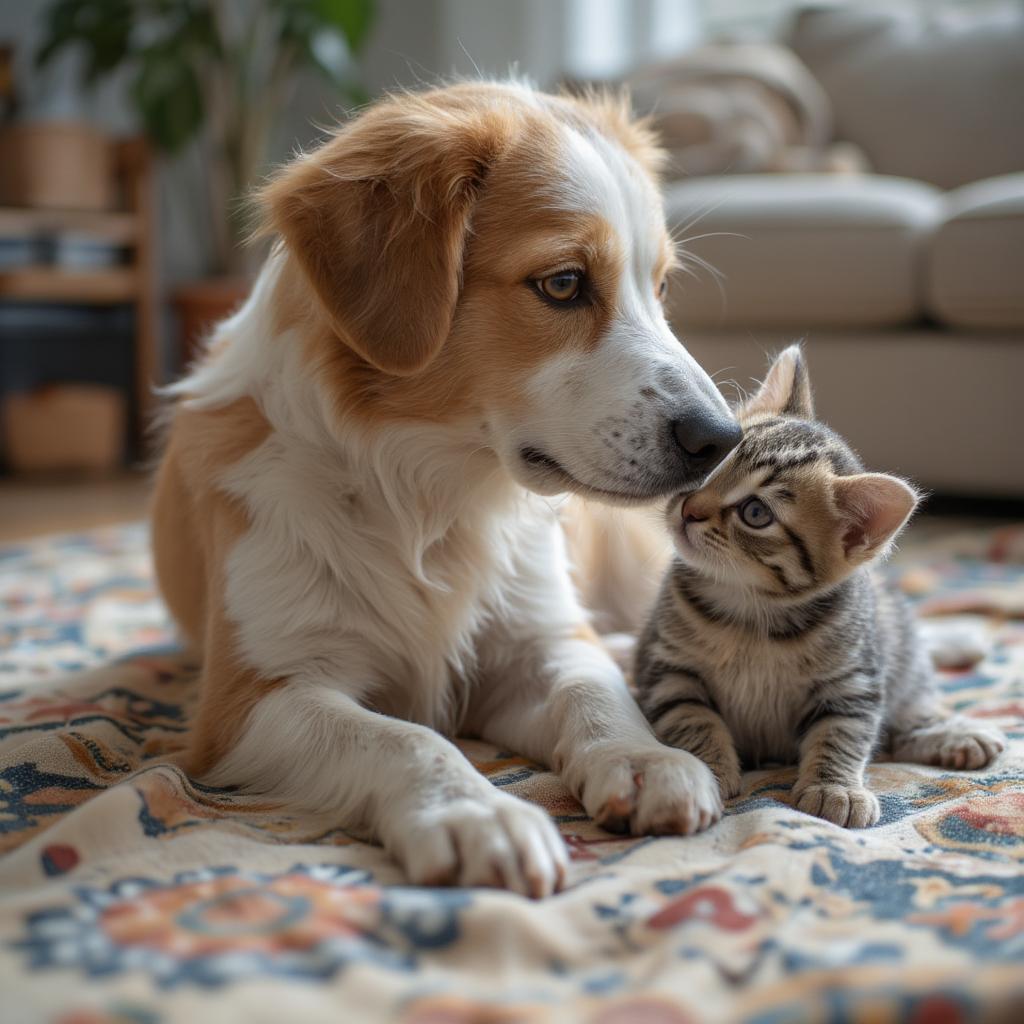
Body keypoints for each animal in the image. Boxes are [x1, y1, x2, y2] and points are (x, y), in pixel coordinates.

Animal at [151, 79, 741, 897]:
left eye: (658, 289)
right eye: (564, 284)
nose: (721, 440)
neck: (431, 494)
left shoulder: (534, 639)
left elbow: (591, 685)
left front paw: (645, 756)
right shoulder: (251, 700)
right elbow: (401, 737)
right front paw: (473, 811)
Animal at [634, 348, 1003, 827]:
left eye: (756, 513)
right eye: (712, 468)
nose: (688, 509)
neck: (751, 610)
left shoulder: (852, 682)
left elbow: (841, 734)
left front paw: (835, 788)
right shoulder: (668, 670)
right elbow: (693, 720)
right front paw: (707, 769)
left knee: (908, 717)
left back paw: (954, 734)